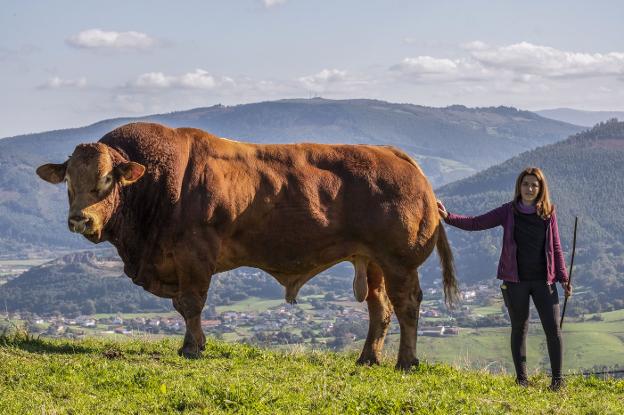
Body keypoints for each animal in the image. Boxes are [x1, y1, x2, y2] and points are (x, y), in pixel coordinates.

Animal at [39, 122, 458, 368]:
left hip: (399, 261)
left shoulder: (195, 255)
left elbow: (190, 304)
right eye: (69, 181)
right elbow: (184, 307)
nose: (80, 219)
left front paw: (192, 348)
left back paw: (407, 361)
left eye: (107, 179)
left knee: (406, 306)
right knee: (380, 308)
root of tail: (396, 157)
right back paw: (368, 358)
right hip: (371, 261)